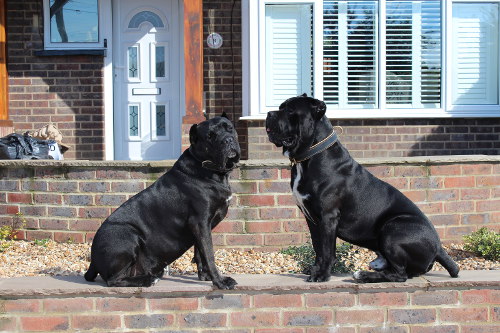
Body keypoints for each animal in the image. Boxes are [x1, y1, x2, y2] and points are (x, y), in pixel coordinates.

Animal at [85, 114, 241, 288]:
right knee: (114, 280)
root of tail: (93, 261)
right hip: (127, 235)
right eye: (210, 136)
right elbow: (209, 254)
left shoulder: (200, 228)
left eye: (230, 128)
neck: (207, 168)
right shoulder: (200, 223)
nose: (227, 140)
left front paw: (205, 276)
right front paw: (220, 281)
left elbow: (200, 253)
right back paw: (148, 280)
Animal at [266, 94, 460, 282]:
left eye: (290, 110)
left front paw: (322, 275)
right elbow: (318, 247)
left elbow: (327, 250)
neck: (308, 156)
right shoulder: (312, 218)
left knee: (400, 275)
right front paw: (314, 270)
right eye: (281, 107)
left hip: (393, 228)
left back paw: (363, 275)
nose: (269, 114)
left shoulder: (328, 216)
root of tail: (439, 248)